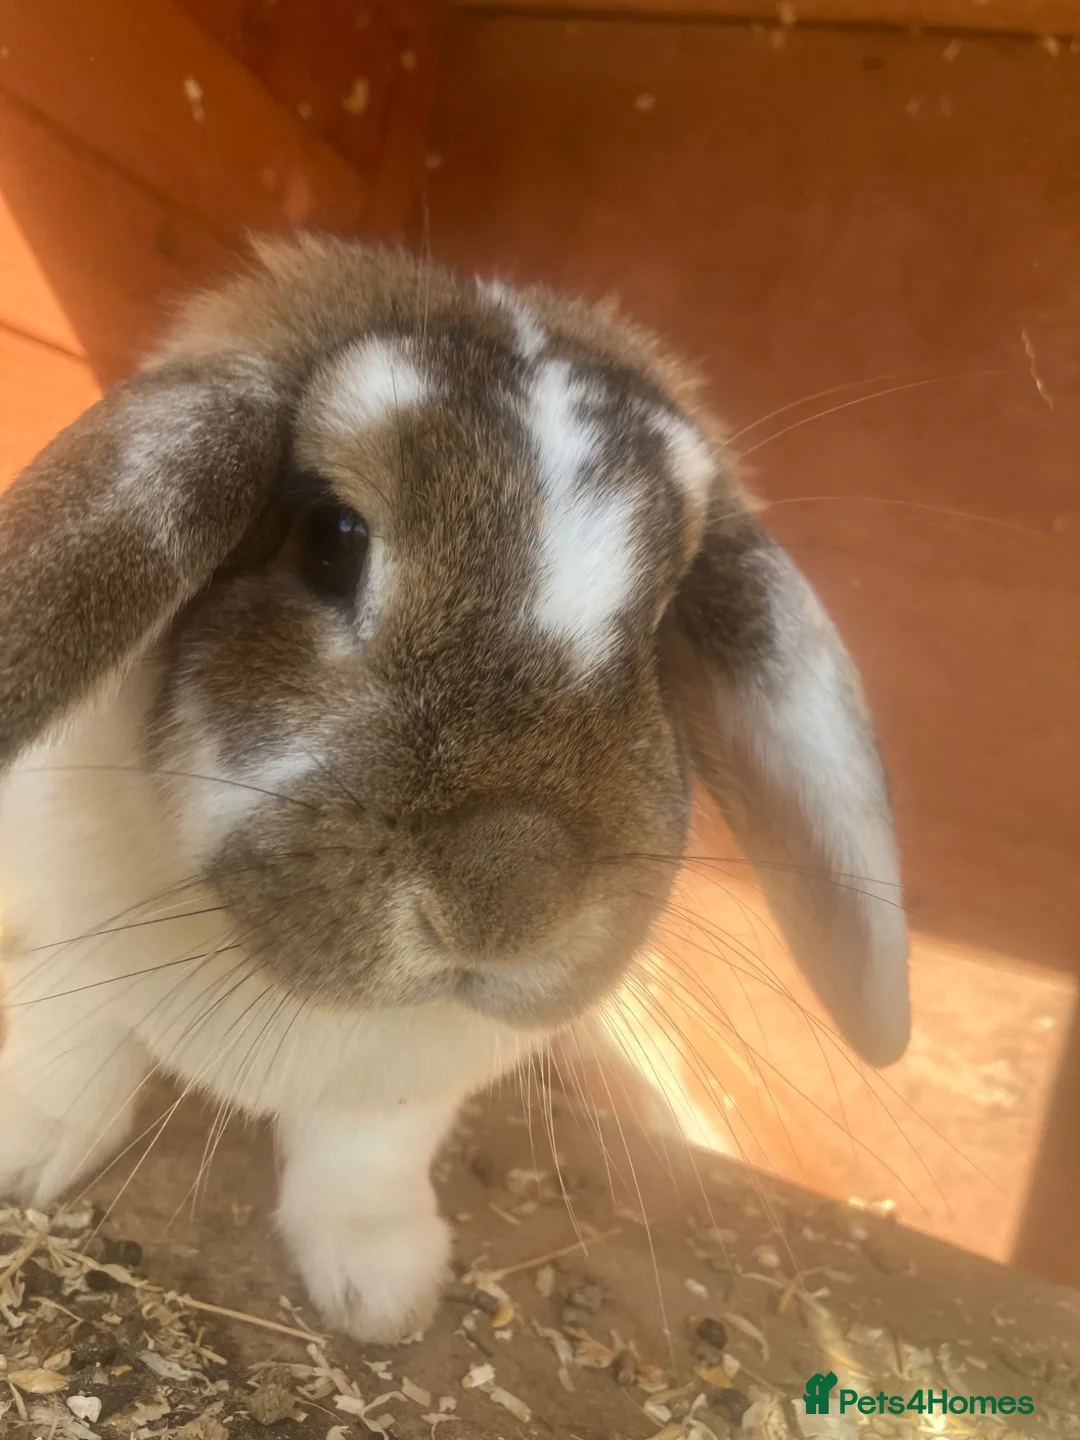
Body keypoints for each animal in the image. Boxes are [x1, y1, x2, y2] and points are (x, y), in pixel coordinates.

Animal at [0, 234, 909, 1343]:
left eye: (660, 630)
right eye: (331, 539)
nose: (510, 895)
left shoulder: (406, 1093)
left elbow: (364, 1167)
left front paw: (384, 1295)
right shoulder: (67, 957)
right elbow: (68, 1056)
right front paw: (23, 1157)